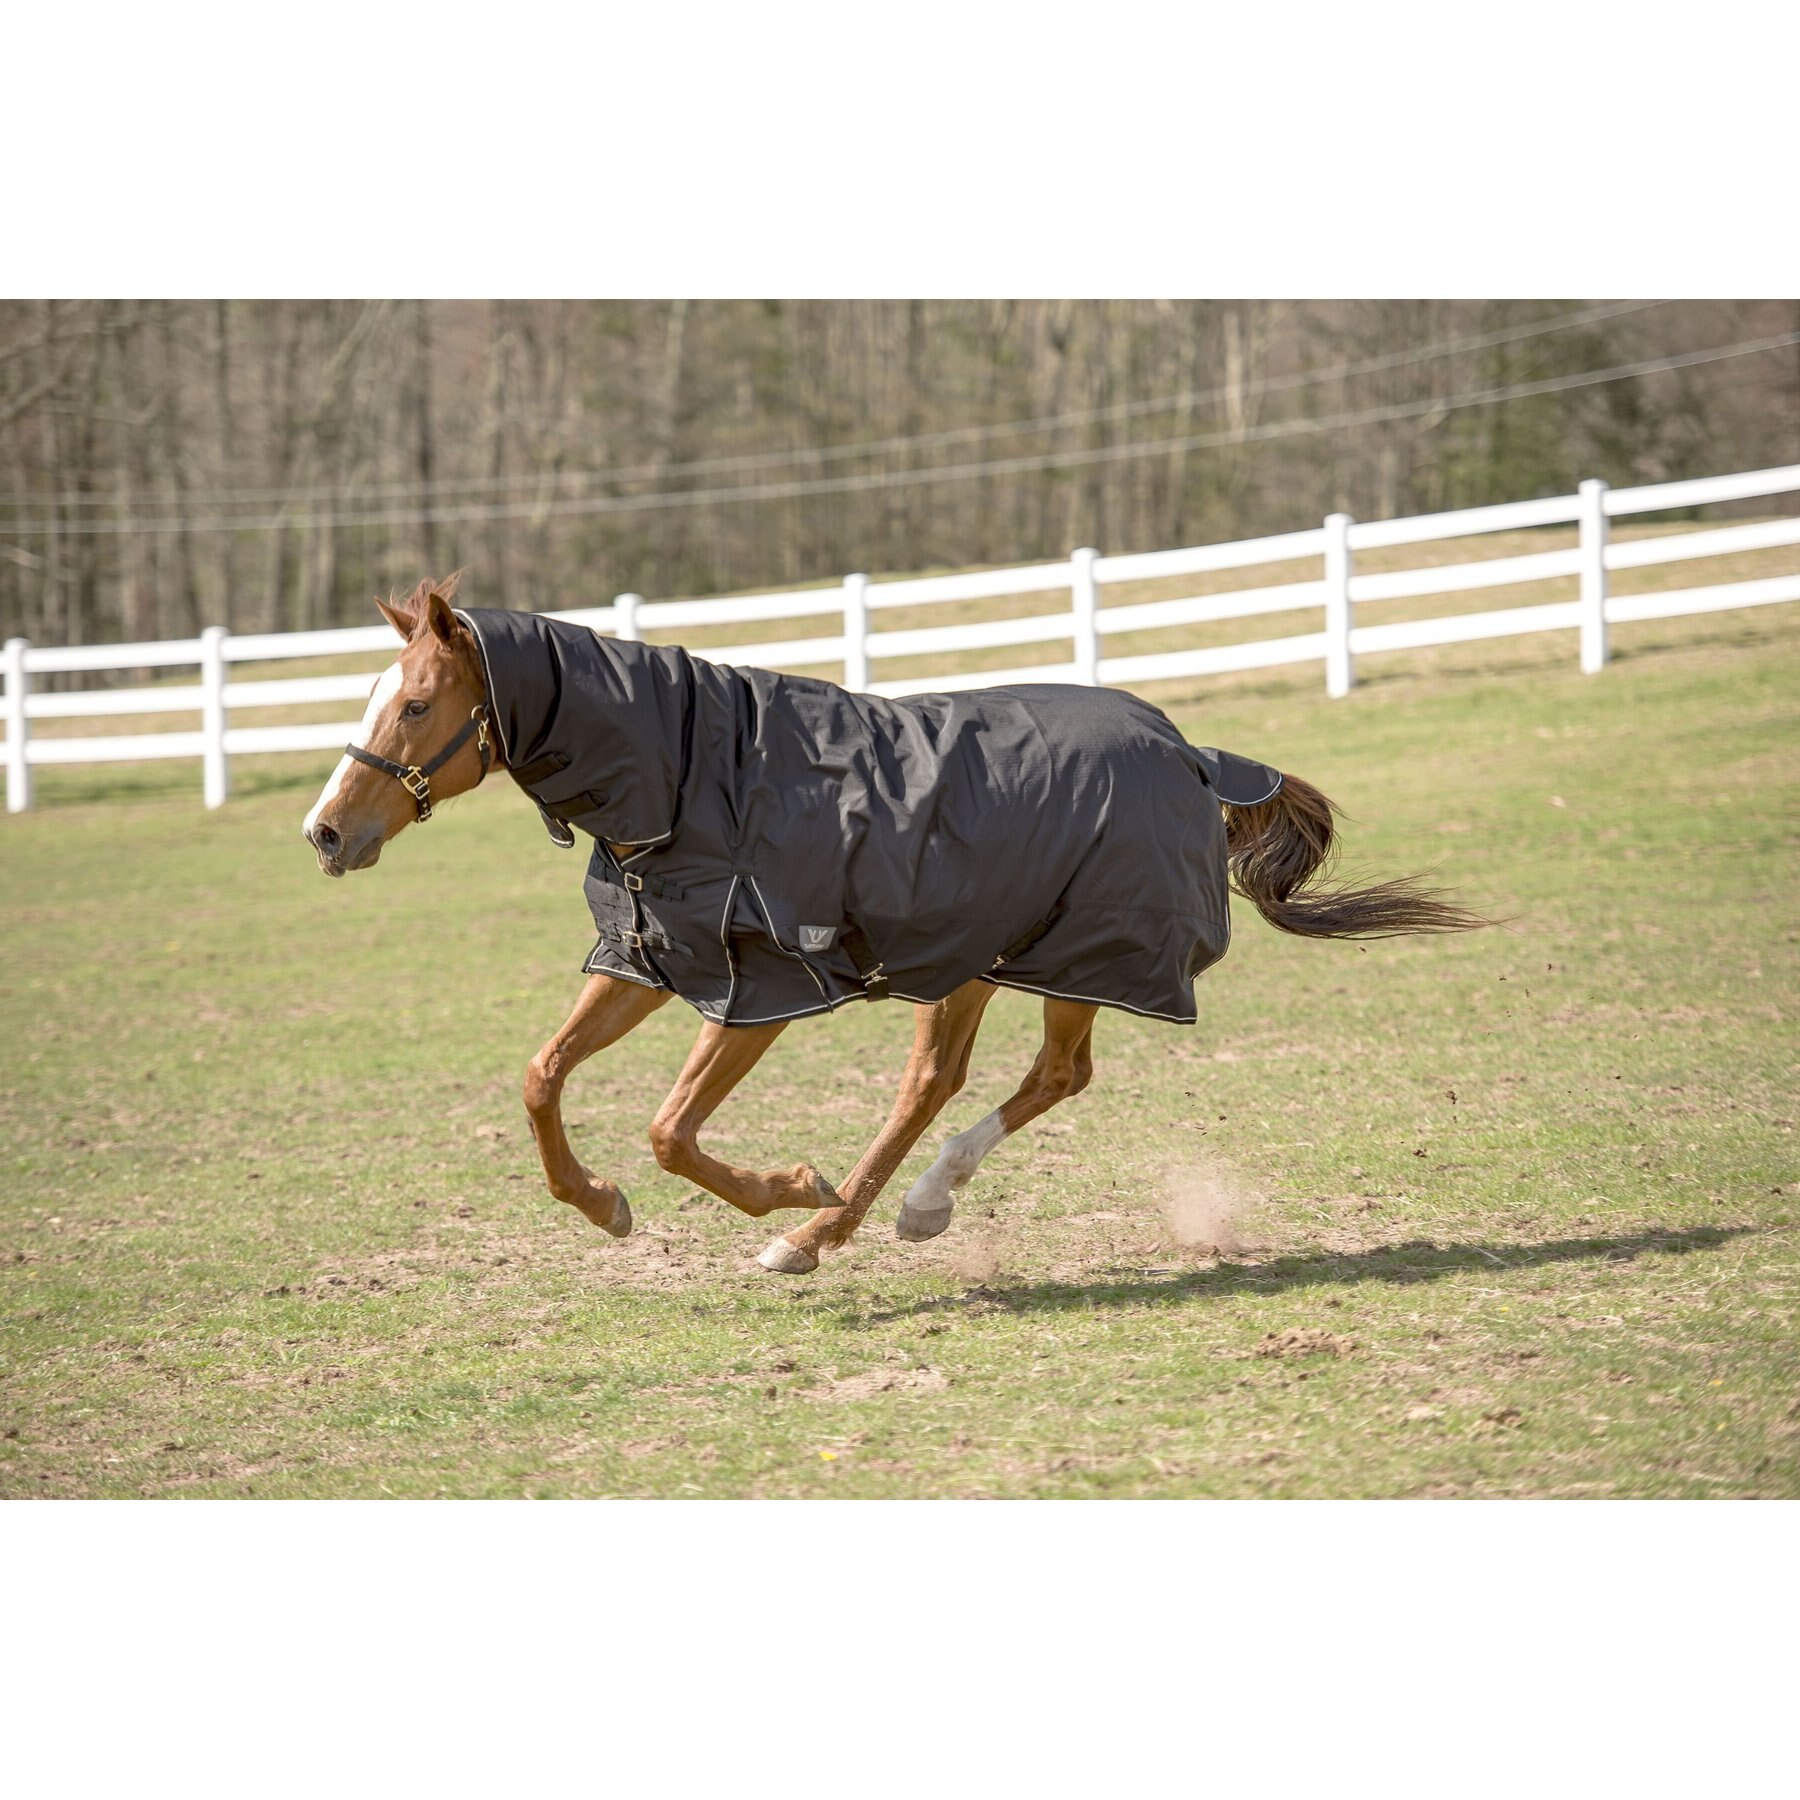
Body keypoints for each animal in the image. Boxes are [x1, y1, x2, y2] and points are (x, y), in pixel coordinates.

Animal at [303, 572, 1485, 1276]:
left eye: (415, 705)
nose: (324, 832)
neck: (690, 772)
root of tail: (1191, 750)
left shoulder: (758, 988)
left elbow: (672, 1130)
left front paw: (781, 1190)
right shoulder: (648, 961)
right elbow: (543, 1077)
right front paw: (602, 1207)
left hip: (1057, 955)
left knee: (983, 1082)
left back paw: (829, 1227)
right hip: (990, 957)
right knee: (1003, 1079)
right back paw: (896, 1213)